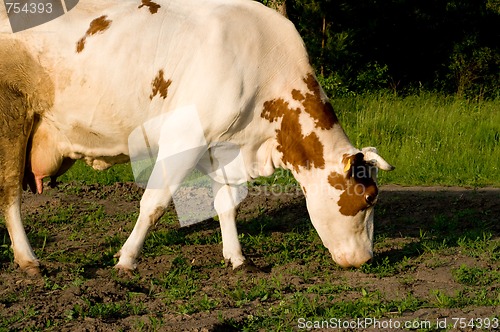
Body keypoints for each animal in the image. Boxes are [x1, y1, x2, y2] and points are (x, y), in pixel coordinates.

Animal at [0, 0, 392, 274]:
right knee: (10, 194)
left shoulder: (223, 146)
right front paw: (126, 259)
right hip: (12, 117)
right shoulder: (184, 136)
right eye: (369, 198)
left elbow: (227, 204)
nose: (367, 260)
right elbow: (154, 203)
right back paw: (28, 261)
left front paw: (237, 258)